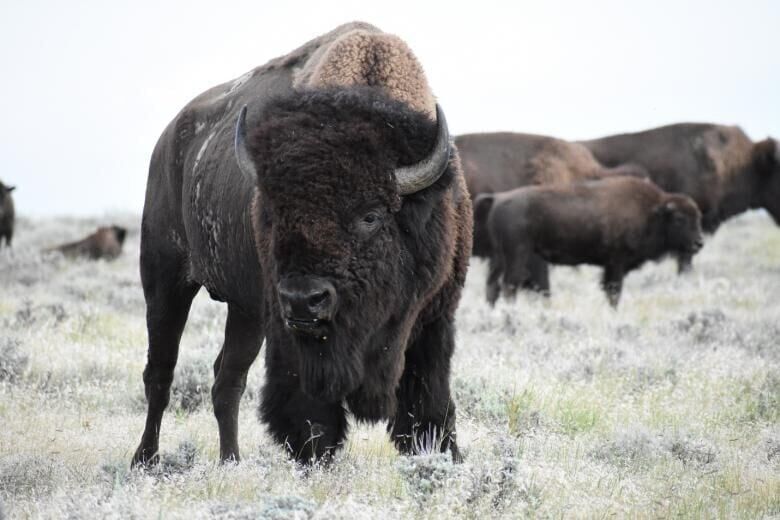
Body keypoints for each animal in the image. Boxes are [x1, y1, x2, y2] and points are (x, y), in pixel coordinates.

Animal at [131, 22, 472, 467]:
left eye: (370, 216)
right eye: (275, 213)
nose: (303, 300)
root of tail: (169, 140)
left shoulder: (433, 320)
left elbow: (429, 406)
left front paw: (444, 455)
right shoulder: (290, 337)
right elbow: (310, 414)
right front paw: (315, 458)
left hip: (245, 311)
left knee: (227, 379)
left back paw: (230, 461)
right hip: (165, 279)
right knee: (161, 372)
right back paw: (145, 460)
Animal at [478, 176, 703, 307]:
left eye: (698, 217)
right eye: (680, 218)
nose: (699, 243)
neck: (652, 211)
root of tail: (498, 198)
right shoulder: (616, 263)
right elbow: (614, 291)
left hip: (499, 257)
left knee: (492, 286)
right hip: (517, 255)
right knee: (509, 285)